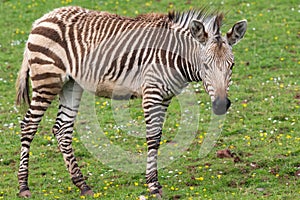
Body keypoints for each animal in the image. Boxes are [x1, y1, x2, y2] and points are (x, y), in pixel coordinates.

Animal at [15, 5, 247, 197]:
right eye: (205, 65)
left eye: (232, 65)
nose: (221, 105)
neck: (175, 56)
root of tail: (44, 17)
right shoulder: (152, 93)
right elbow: (152, 138)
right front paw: (153, 185)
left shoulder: (165, 98)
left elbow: (158, 137)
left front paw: (153, 182)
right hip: (47, 80)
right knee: (28, 125)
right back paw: (24, 186)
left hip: (71, 84)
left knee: (62, 128)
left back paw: (82, 184)